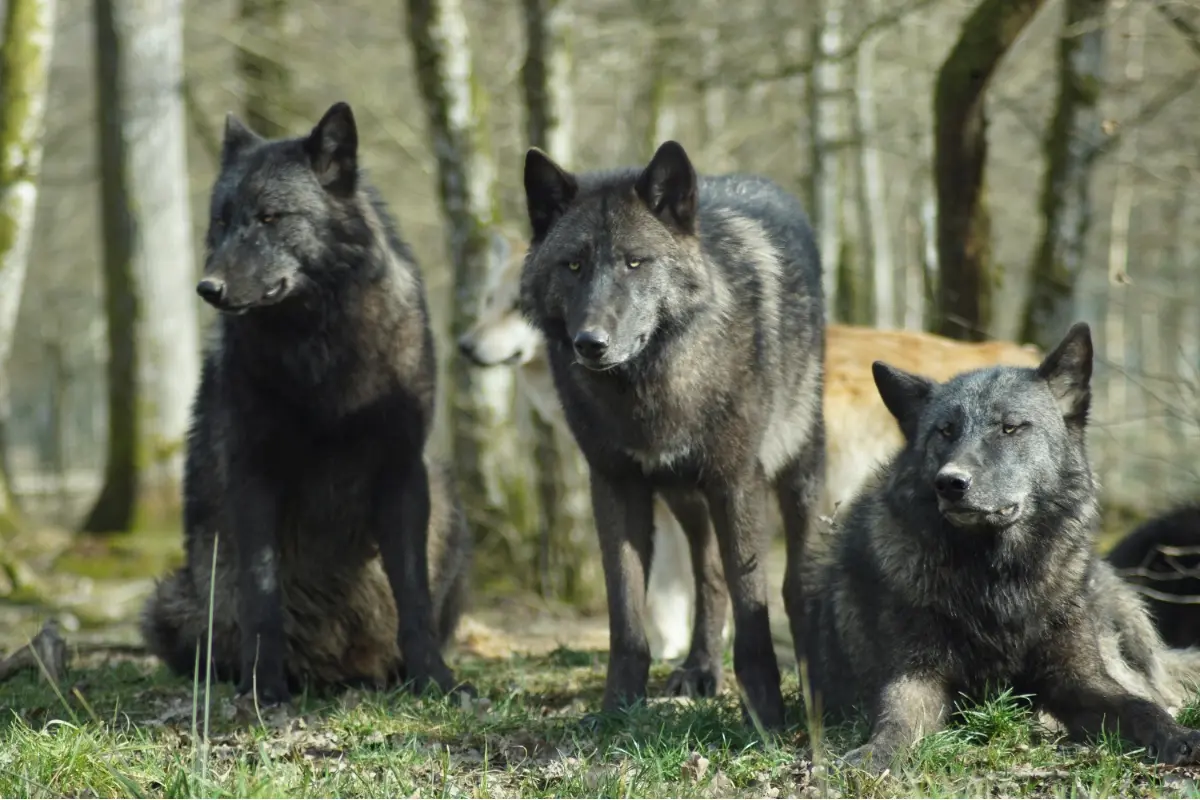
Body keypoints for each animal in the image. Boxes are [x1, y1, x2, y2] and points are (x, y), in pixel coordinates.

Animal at [142, 101, 470, 705]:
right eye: (221, 221)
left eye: (271, 217)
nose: (208, 288)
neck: (320, 349)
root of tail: (336, 672)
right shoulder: (252, 475)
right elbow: (262, 596)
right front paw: (264, 688)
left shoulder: (402, 471)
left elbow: (413, 596)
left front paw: (435, 680)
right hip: (170, 602)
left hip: (450, 504)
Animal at [520, 140, 830, 729]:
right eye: (573, 264)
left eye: (634, 262)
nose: (590, 342)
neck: (650, 388)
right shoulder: (615, 486)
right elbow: (626, 616)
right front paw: (617, 710)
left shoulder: (736, 483)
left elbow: (753, 606)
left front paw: (765, 715)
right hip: (684, 496)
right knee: (708, 576)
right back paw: (700, 668)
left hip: (796, 473)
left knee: (794, 581)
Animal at [796, 321, 1200, 772]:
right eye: (945, 431)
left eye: (1009, 427)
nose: (950, 483)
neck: (995, 579)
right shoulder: (915, 676)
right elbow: (896, 718)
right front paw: (874, 754)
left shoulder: (1078, 678)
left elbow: (1138, 706)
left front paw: (1177, 734)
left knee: (1155, 687)